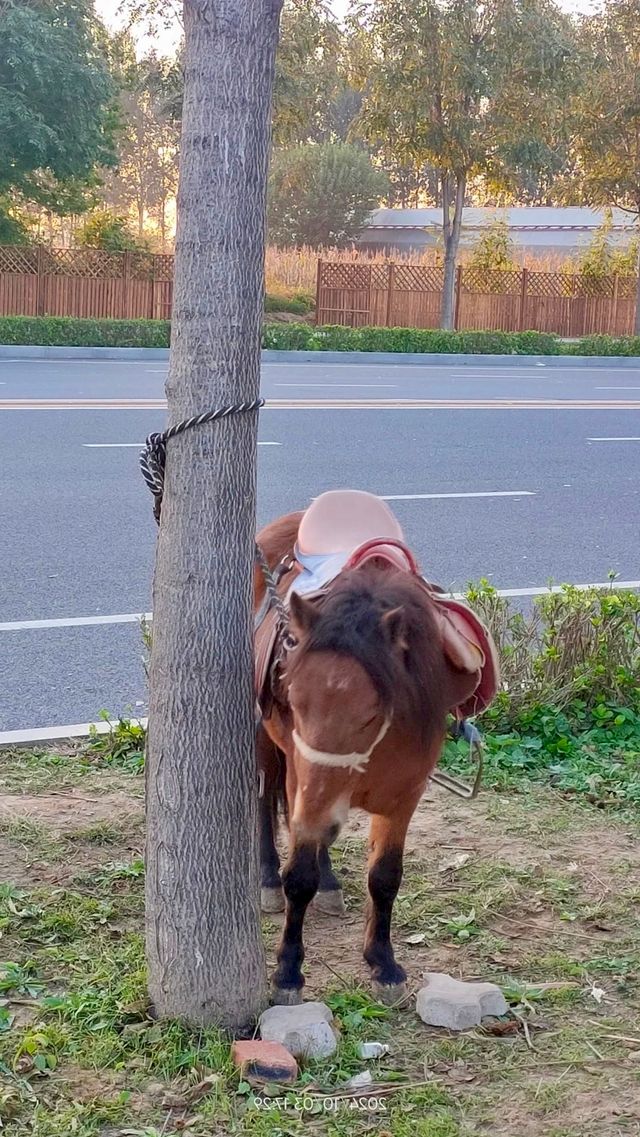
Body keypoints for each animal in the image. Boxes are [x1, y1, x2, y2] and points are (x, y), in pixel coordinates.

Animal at [255, 504, 486, 1005]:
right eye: (294, 698)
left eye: (372, 713)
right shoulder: (302, 776)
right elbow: (297, 875)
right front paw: (287, 972)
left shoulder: (404, 796)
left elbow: (384, 877)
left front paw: (384, 963)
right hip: (264, 741)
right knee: (263, 803)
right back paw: (266, 877)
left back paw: (329, 882)